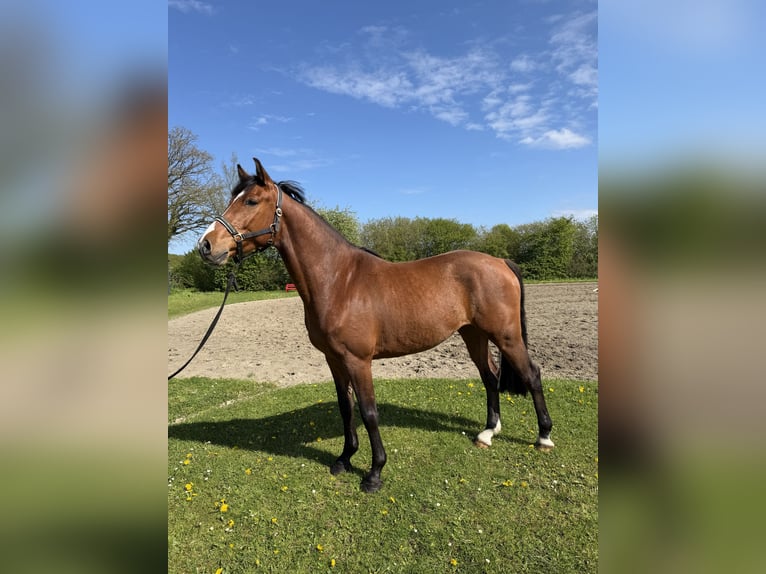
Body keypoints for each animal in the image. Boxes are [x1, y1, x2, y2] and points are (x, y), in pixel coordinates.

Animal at [198, 158, 554, 493]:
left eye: (251, 201)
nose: (206, 245)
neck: (338, 280)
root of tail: (499, 262)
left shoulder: (358, 361)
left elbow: (369, 412)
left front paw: (374, 473)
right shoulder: (334, 359)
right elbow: (346, 408)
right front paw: (344, 459)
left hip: (506, 336)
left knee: (531, 374)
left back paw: (543, 437)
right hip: (473, 334)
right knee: (490, 378)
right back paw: (488, 433)